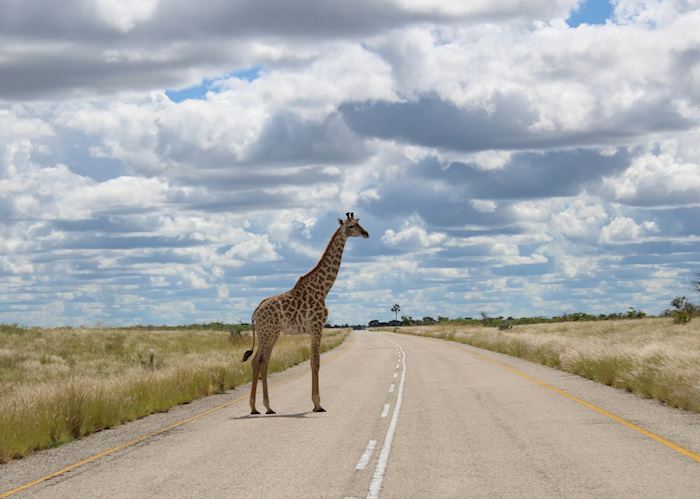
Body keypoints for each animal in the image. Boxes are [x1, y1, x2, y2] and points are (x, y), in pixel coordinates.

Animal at [242, 213, 370, 416]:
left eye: (359, 223)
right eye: (351, 226)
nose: (366, 233)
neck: (323, 288)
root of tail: (256, 310)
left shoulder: (312, 329)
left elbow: (312, 362)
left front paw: (315, 402)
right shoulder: (317, 326)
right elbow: (316, 363)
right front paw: (318, 404)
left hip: (264, 334)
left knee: (256, 361)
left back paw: (256, 408)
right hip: (271, 333)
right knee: (263, 362)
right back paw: (266, 406)